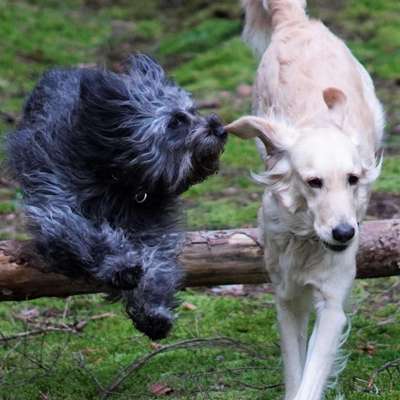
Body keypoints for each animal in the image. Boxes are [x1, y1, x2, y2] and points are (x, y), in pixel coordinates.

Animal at [6, 54, 227, 340]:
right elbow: (89, 234)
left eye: (193, 110)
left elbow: (157, 260)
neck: (118, 176)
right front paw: (120, 266)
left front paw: (152, 311)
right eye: (176, 122)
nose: (220, 128)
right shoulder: (58, 200)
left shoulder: (153, 225)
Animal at [225, 0, 384, 400]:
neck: (306, 237)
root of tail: (295, 22)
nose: (344, 233)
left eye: (352, 179)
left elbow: (310, 379)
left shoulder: (332, 302)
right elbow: (296, 370)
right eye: (313, 182)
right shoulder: (286, 297)